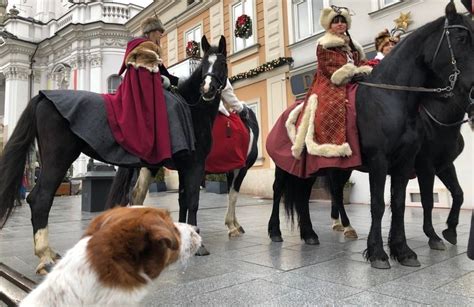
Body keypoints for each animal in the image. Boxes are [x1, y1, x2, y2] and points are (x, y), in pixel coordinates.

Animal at [0, 35, 228, 274]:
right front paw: (198, 244)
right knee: (41, 198)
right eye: (205, 64)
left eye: (221, 63)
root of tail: (44, 96)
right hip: (59, 158)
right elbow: (192, 200)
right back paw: (46, 257)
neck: (192, 111)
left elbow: (181, 199)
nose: (208, 88)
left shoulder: (177, 166)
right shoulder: (195, 164)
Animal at [268, 3, 472, 270]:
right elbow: (381, 205)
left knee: (307, 195)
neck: (393, 100)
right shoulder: (386, 161)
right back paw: (276, 231)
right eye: (461, 38)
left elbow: (401, 203)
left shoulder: (409, 163)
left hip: (319, 168)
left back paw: (311, 233)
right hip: (285, 166)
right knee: (278, 191)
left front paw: (403, 250)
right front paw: (378, 253)